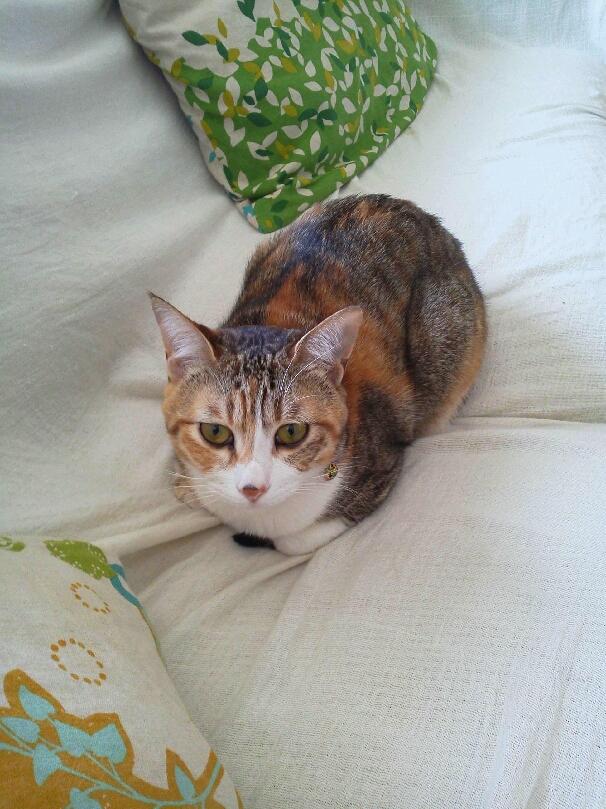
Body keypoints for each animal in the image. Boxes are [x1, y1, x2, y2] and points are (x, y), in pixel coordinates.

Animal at [150, 194, 486, 555]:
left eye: (291, 432)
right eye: (214, 431)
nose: (253, 488)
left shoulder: (382, 463)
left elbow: (294, 540)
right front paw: (188, 488)